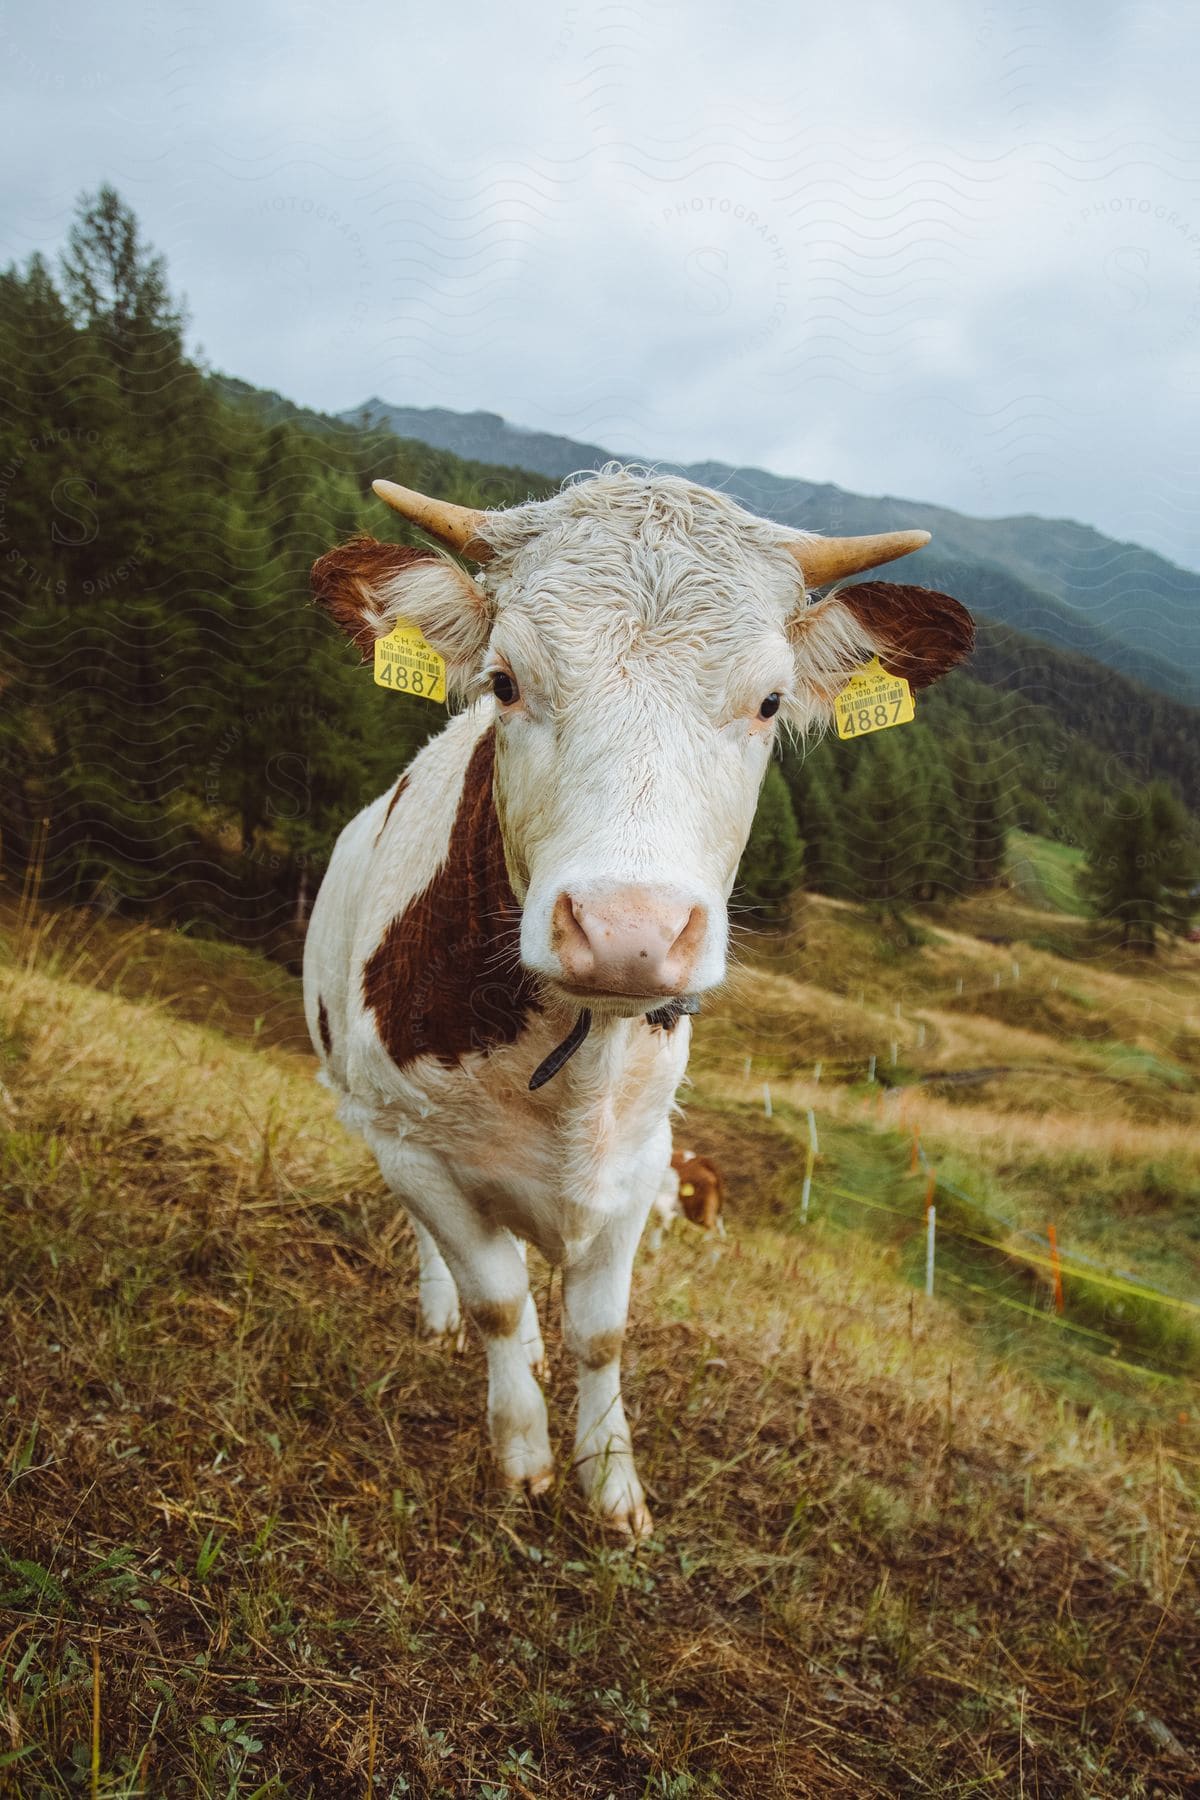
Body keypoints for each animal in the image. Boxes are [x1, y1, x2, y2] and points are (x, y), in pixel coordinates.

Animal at [302, 464, 978, 1533]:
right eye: (505, 682)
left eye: (769, 701)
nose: (629, 930)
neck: (574, 1059)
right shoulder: (414, 1147)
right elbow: (498, 1301)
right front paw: (525, 1458)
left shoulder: (641, 1163)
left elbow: (603, 1334)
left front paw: (612, 1484)